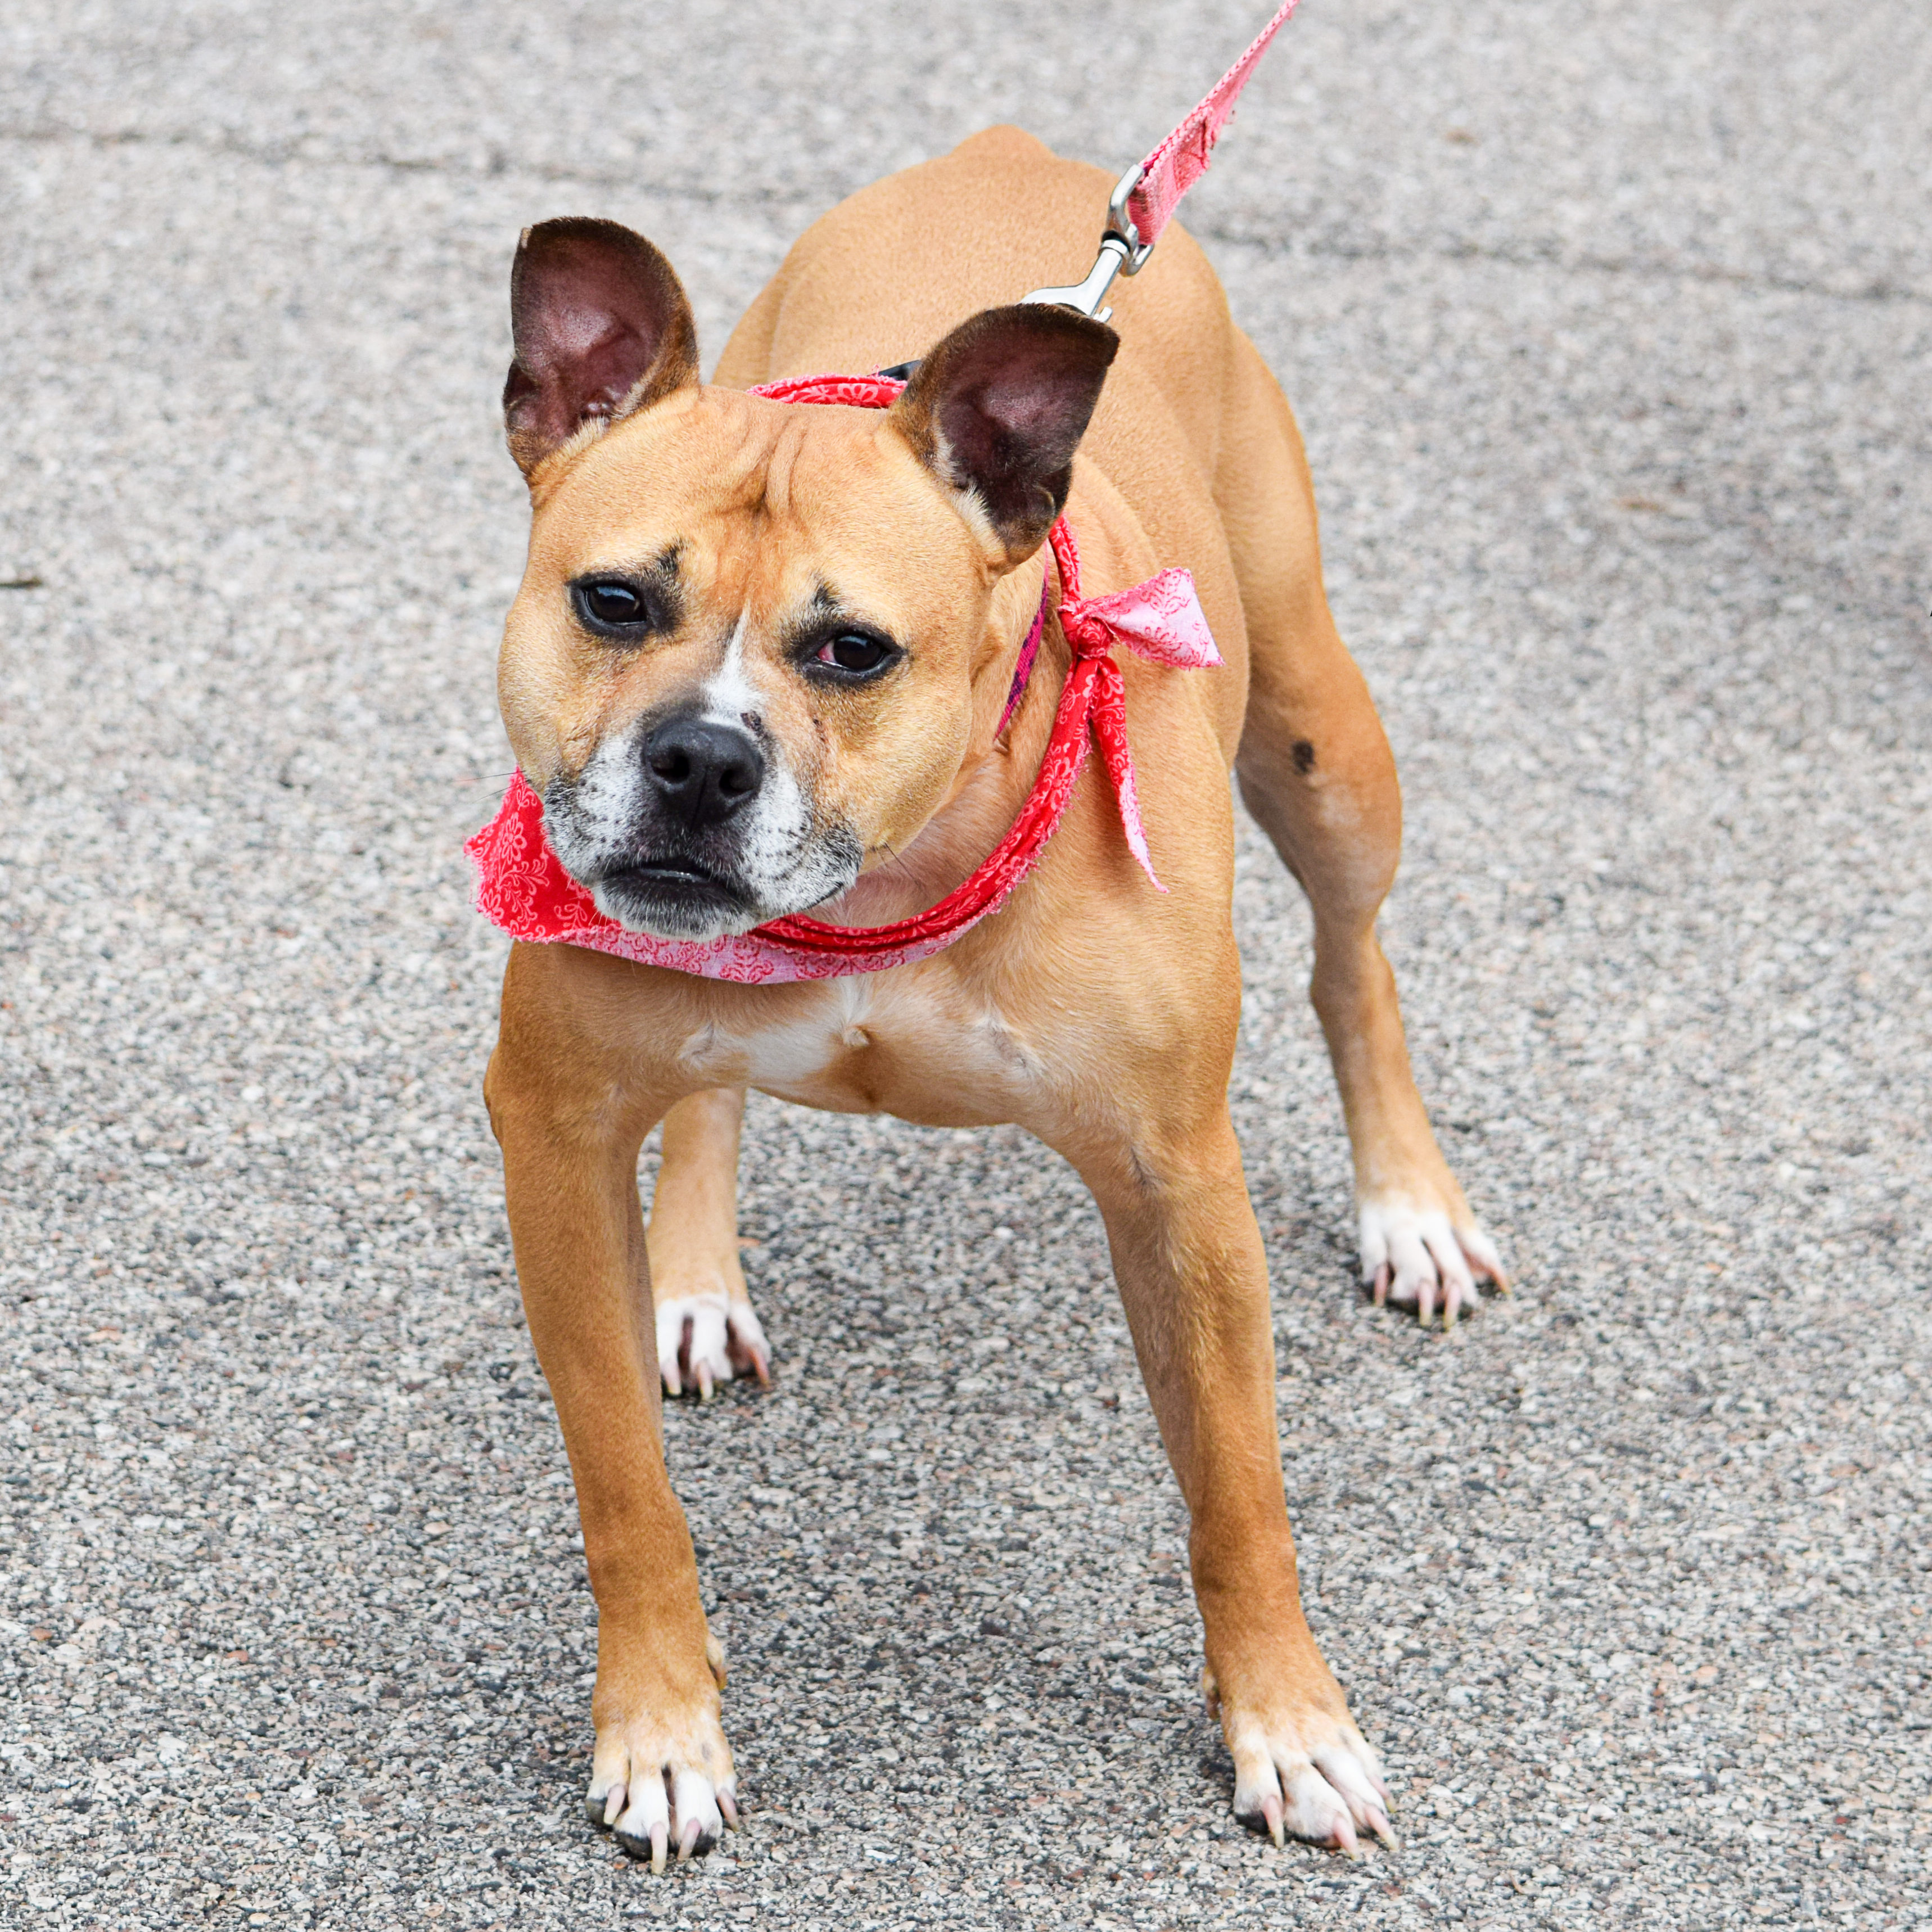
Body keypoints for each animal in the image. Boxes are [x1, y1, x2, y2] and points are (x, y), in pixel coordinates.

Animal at [486, 124, 1507, 1870]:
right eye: (612, 602)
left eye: (852, 651)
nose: (699, 758)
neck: (875, 896)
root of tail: (1005, 151)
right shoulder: (554, 1137)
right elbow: (626, 1490)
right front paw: (663, 1729)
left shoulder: (1176, 1183)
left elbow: (1236, 1490)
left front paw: (1287, 1723)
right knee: (709, 1097)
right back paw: (692, 1274)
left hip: (1318, 740)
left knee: (1351, 959)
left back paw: (1409, 1206)